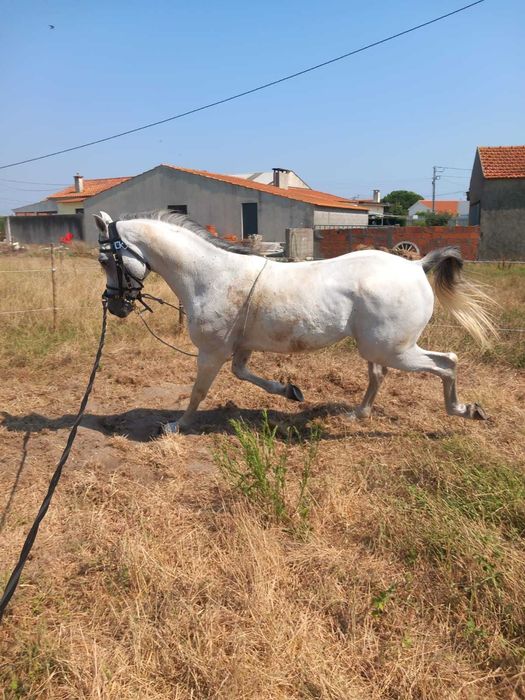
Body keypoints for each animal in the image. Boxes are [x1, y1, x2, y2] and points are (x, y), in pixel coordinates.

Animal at [95, 210, 496, 434]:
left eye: (103, 260)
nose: (114, 306)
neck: (210, 276)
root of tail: (416, 266)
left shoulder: (211, 353)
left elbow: (198, 392)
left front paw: (176, 426)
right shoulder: (241, 349)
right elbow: (244, 374)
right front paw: (291, 391)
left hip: (396, 349)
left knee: (447, 363)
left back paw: (466, 410)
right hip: (377, 347)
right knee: (379, 375)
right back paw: (357, 414)